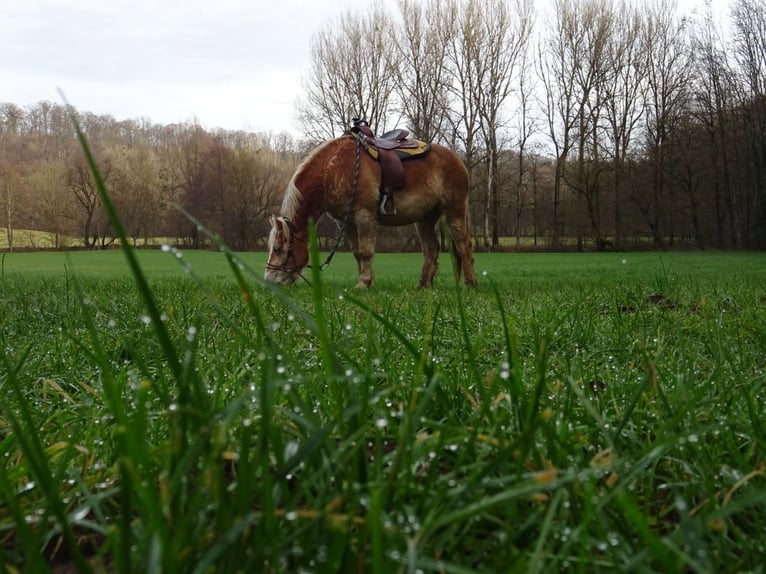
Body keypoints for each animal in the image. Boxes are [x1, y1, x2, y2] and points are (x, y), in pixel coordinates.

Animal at [268, 133, 476, 290]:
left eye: (278, 248)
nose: (269, 280)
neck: (334, 169)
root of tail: (457, 160)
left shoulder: (364, 215)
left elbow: (366, 251)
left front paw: (363, 283)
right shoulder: (347, 222)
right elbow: (357, 252)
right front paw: (368, 282)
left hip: (455, 212)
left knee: (463, 245)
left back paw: (470, 284)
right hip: (425, 219)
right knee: (431, 249)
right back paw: (423, 285)